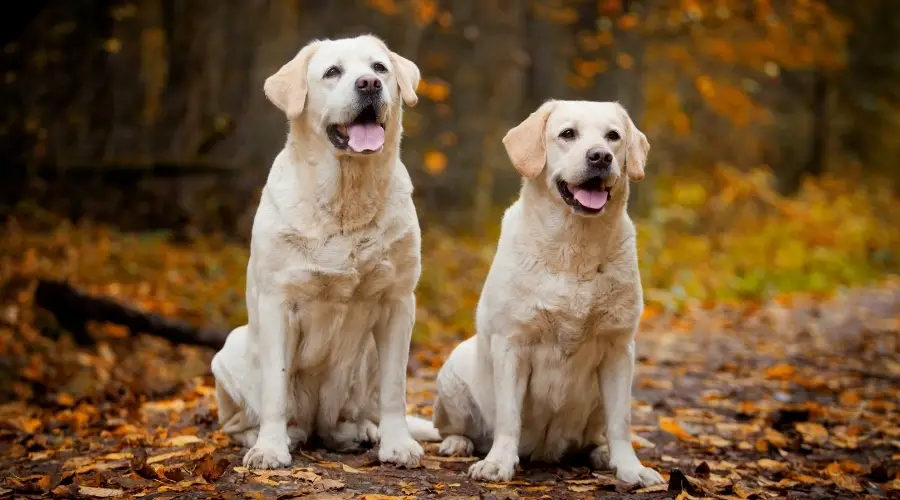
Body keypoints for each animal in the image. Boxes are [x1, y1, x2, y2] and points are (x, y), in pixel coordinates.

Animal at [208, 34, 440, 468]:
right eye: (333, 72)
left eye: (380, 68)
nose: (369, 84)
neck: (348, 194)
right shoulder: (277, 303)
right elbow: (275, 388)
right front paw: (269, 448)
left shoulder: (399, 302)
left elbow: (395, 389)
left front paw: (398, 445)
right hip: (228, 351)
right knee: (239, 421)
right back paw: (266, 436)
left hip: (366, 360)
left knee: (356, 412)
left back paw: (363, 431)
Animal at [428, 99, 668, 486]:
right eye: (568, 134)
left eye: (613, 136)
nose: (600, 157)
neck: (575, 247)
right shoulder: (512, 343)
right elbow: (509, 417)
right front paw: (498, 464)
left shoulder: (619, 348)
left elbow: (621, 422)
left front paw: (631, 469)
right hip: (452, 379)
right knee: (454, 428)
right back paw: (458, 444)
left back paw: (602, 454)